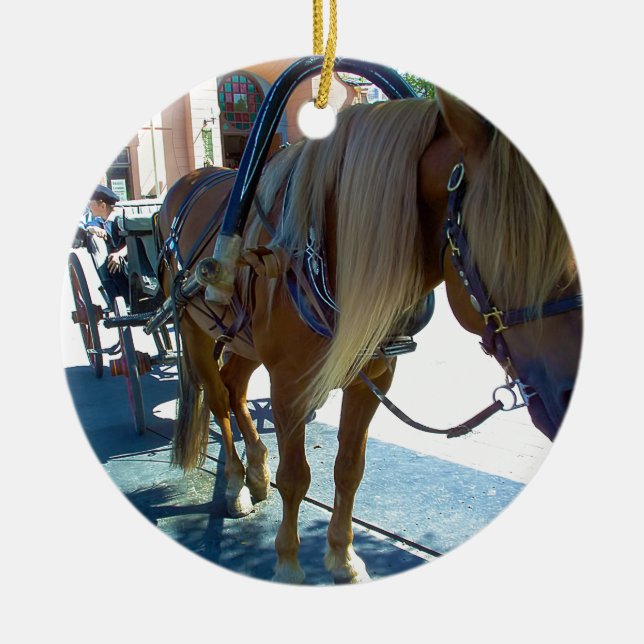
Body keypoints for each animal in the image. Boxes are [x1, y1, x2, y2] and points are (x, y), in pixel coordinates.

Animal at [155, 89, 582, 584]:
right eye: (508, 247)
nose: (567, 397)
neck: (326, 248)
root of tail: (188, 182)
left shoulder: (372, 379)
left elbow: (350, 470)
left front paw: (342, 556)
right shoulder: (290, 387)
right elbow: (296, 477)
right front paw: (288, 564)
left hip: (244, 340)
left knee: (235, 385)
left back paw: (257, 471)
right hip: (193, 327)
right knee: (219, 399)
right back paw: (235, 483)